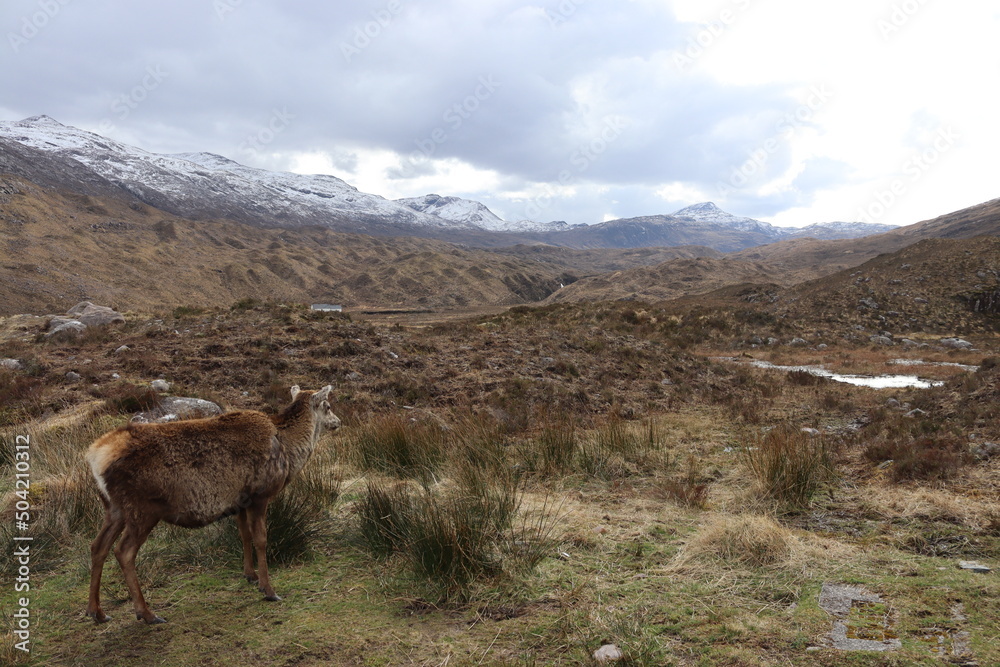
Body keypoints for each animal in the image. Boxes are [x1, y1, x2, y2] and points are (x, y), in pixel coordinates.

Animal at [85, 385, 340, 624]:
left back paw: (97, 611)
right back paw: (147, 613)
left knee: (98, 546)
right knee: (124, 551)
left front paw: (250, 575)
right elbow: (261, 540)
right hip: (142, 509)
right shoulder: (260, 495)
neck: (289, 452)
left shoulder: (239, 501)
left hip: (114, 508)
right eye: (327, 406)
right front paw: (268, 589)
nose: (338, 421)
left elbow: (244, 535)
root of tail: (95, 457)